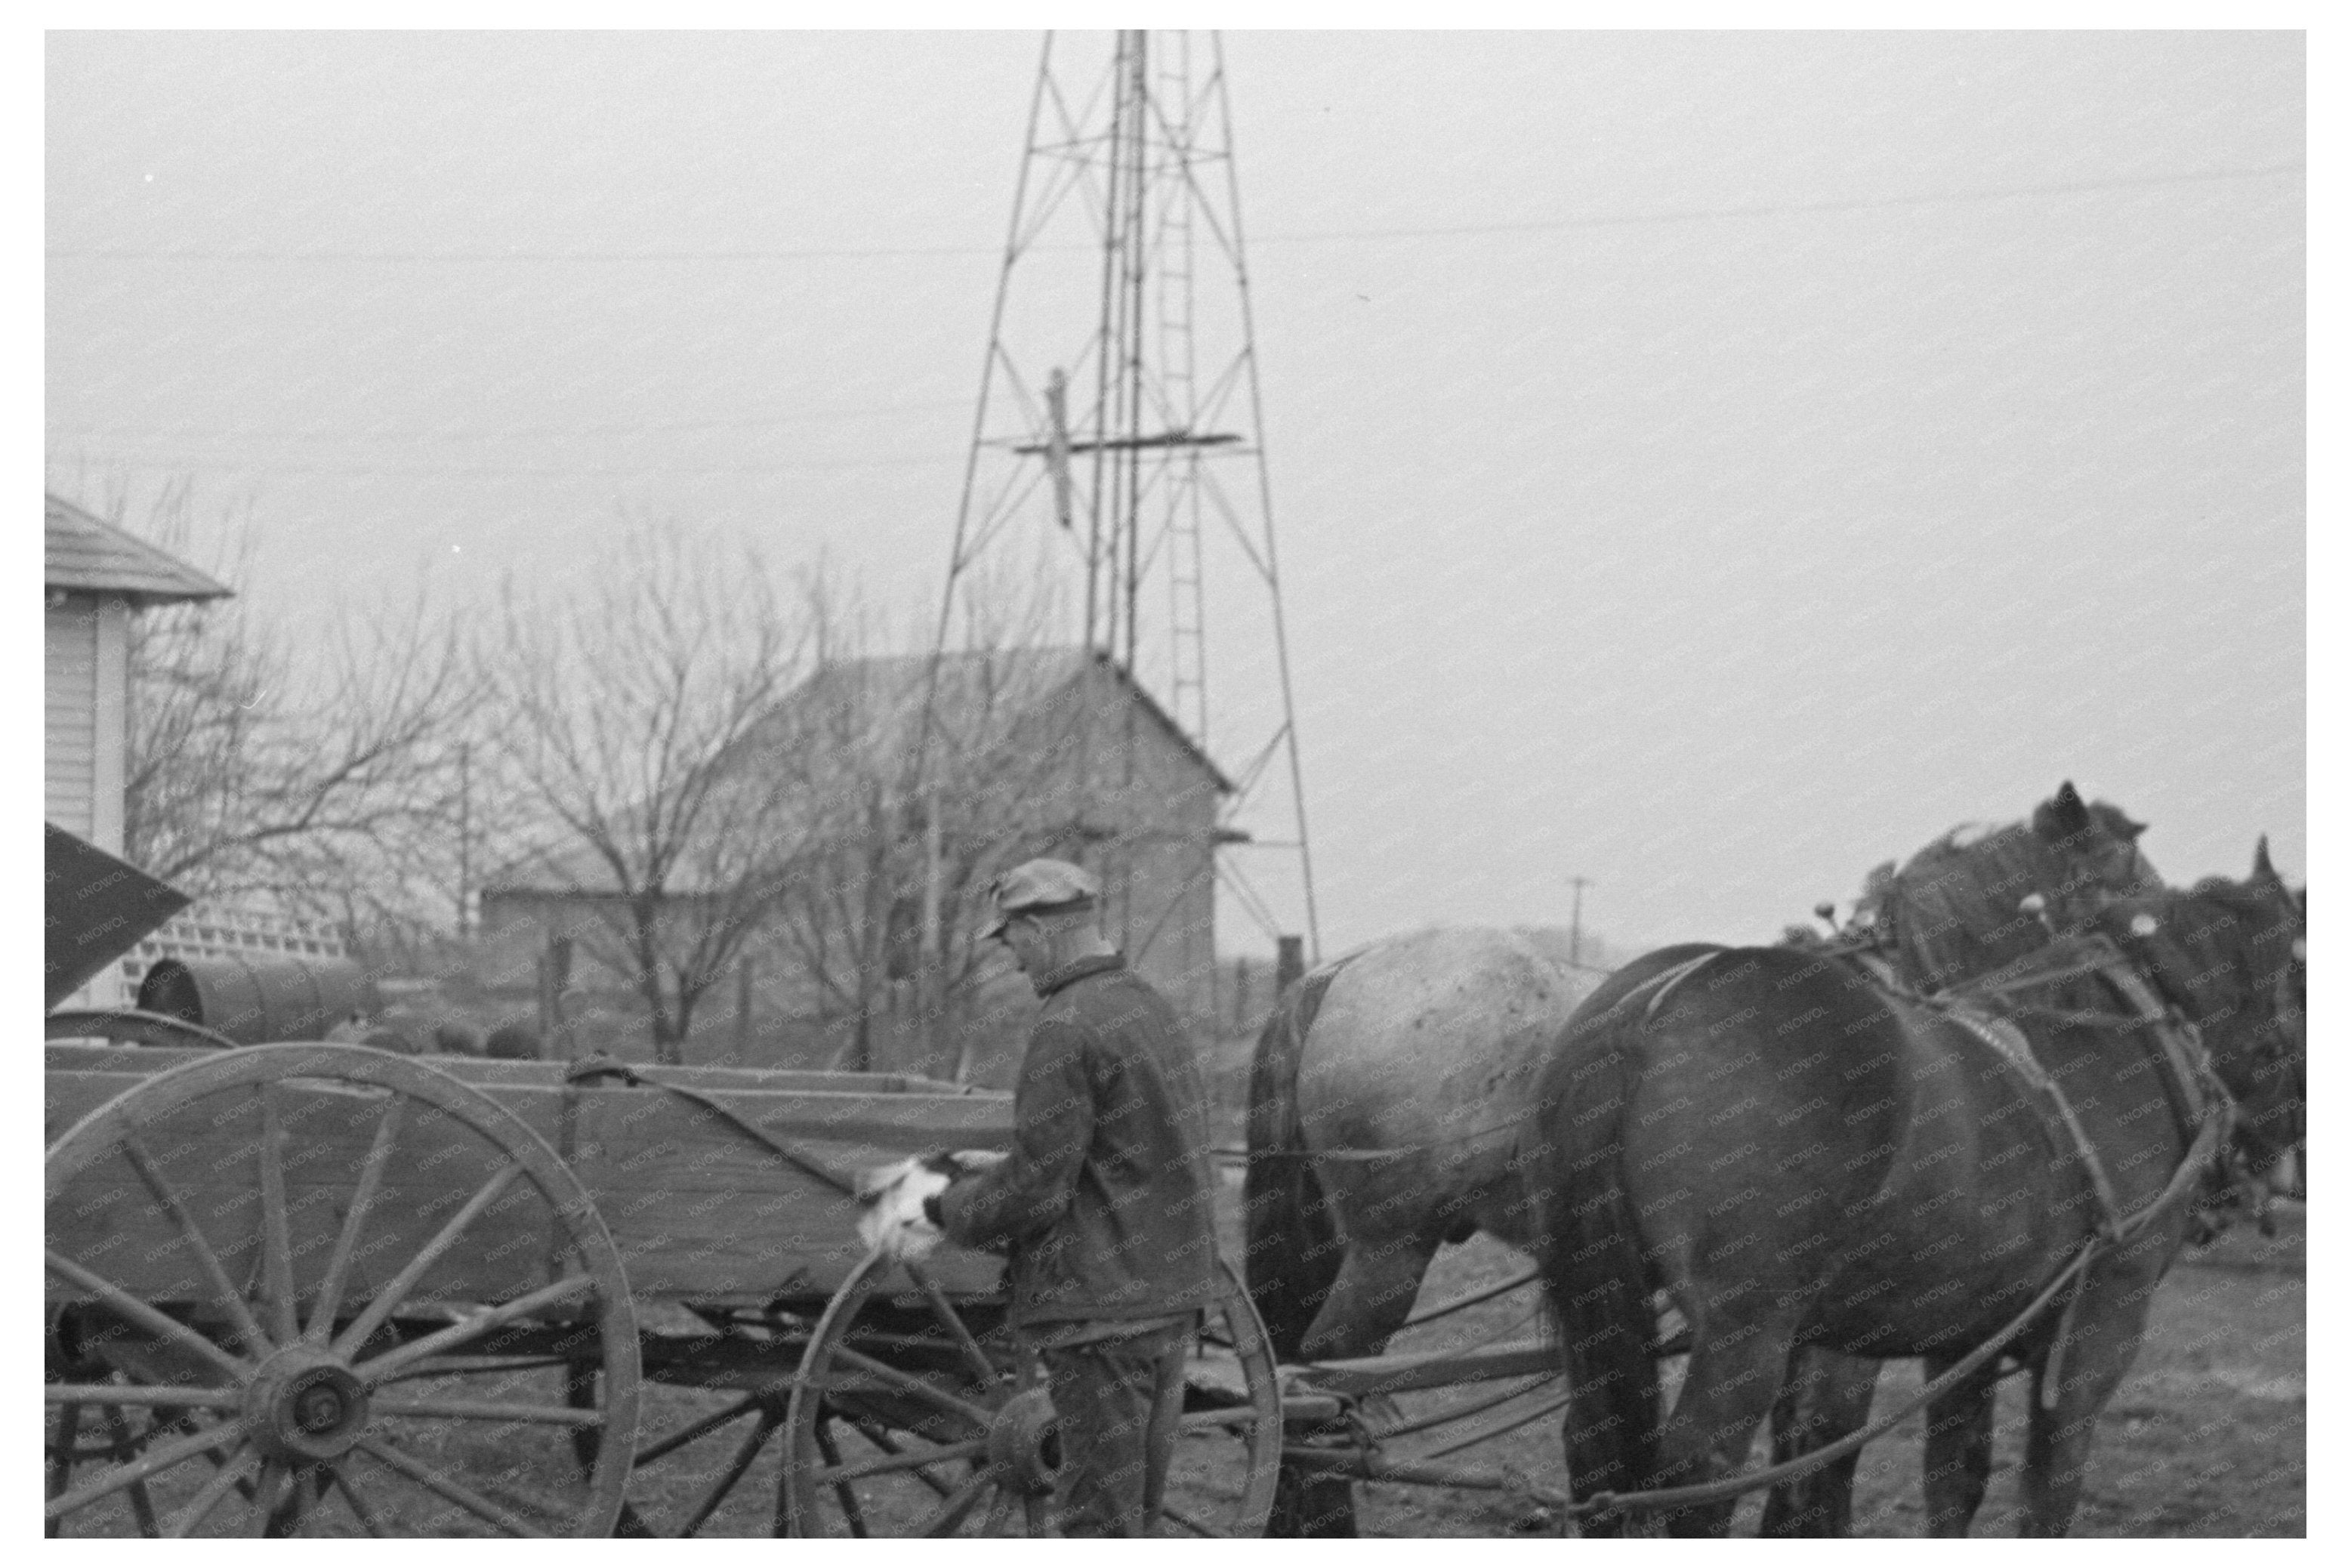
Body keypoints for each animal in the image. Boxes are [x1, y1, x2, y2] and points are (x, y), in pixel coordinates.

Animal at [1532, 841, 2303, 1542]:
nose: (2277, 1168)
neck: (2124, 1037)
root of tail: (1644, 1015)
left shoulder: (1966, 1333)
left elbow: (1953, 1478)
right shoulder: (2100, 1322)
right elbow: (2044, 1494)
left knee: (1596, 1454)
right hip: (1745, 1329)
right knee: (1701, 1476)